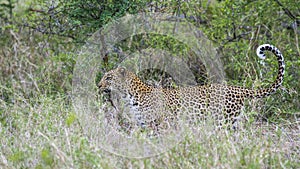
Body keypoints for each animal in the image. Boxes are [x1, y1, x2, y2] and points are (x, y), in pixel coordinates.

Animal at [99, 44, 286, 136]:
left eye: (108, 78)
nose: (99, 85)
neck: (130, 96)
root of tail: (237, 88)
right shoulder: (145, 126)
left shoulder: (161, 125)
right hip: (232, 123)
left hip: (222, 122)